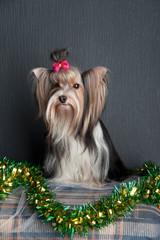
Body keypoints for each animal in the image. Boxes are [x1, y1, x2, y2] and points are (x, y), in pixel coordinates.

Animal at [31, 47, 128, 187]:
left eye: (76, 86)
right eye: (56, 85)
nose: (62, 98)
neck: (70, 120)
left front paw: (91, 182)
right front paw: (64, 179)